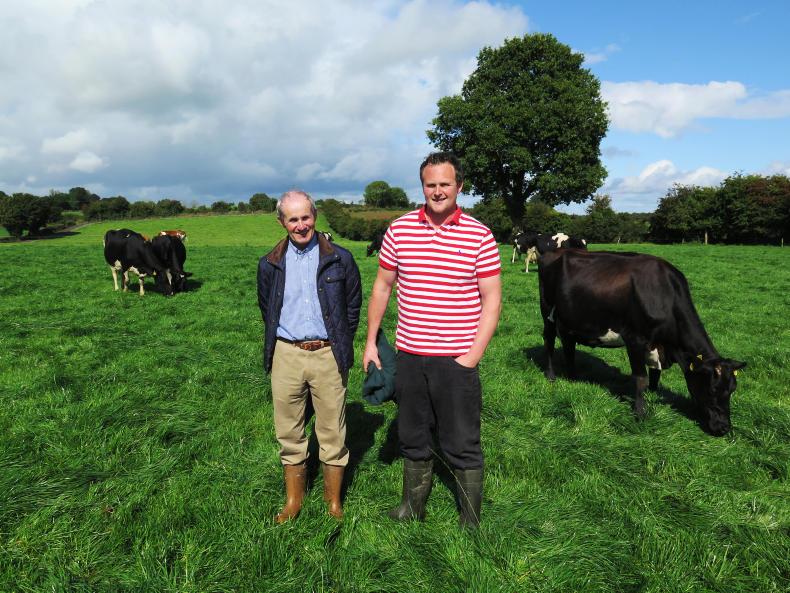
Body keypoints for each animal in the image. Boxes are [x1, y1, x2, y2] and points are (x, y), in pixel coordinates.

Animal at [538, 249, 746, 436]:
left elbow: (655, 373)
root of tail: (555, 252)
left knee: (568, 345)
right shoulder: (635, 340)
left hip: (569, 321)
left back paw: (573, 377)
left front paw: (653, 394)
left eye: (732, 389)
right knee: (549, 340)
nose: (724, 428)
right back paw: (551, 375)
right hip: (548, 311)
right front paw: (640, 412)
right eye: (712, 390)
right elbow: (641, 378)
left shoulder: (657, 345)